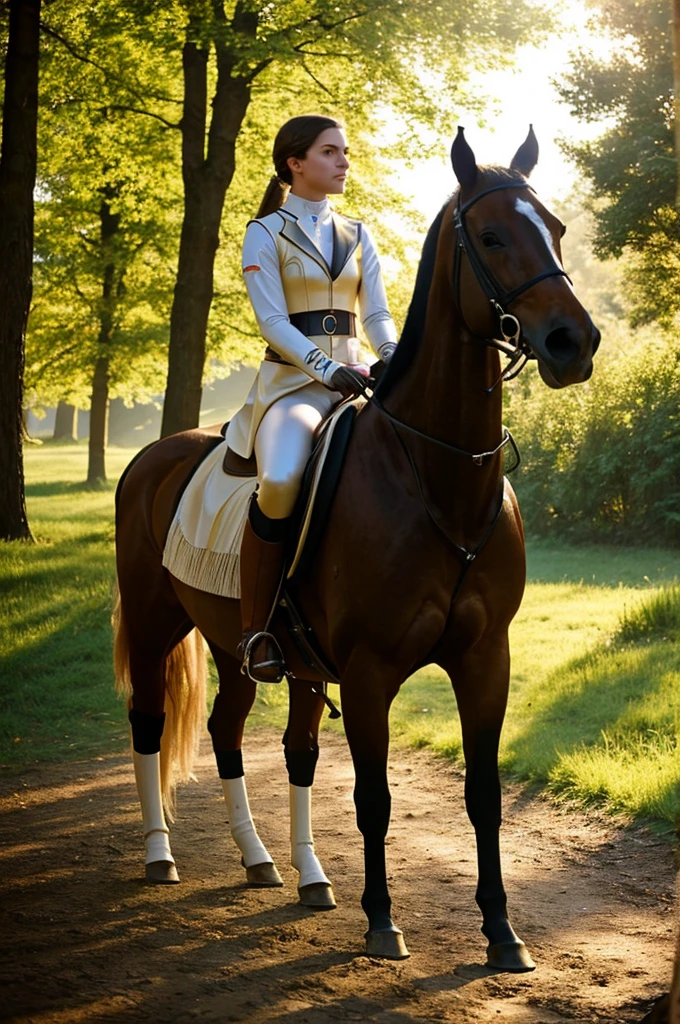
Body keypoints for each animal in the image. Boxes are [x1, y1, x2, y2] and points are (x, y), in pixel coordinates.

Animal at [115, 128, 602, 966]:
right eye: (491, 236)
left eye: (557, 229)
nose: (576, 341)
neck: (437, 475)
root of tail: (156, 454)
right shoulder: (371, 670)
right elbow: (373, 797)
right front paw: (382, 923)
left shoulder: (486, 661)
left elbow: (483, 795)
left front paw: (502, 932)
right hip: (154, 625)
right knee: (150, 723)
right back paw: (159, 855)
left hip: (249, 647)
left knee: (249, 736)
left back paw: (281, 867)